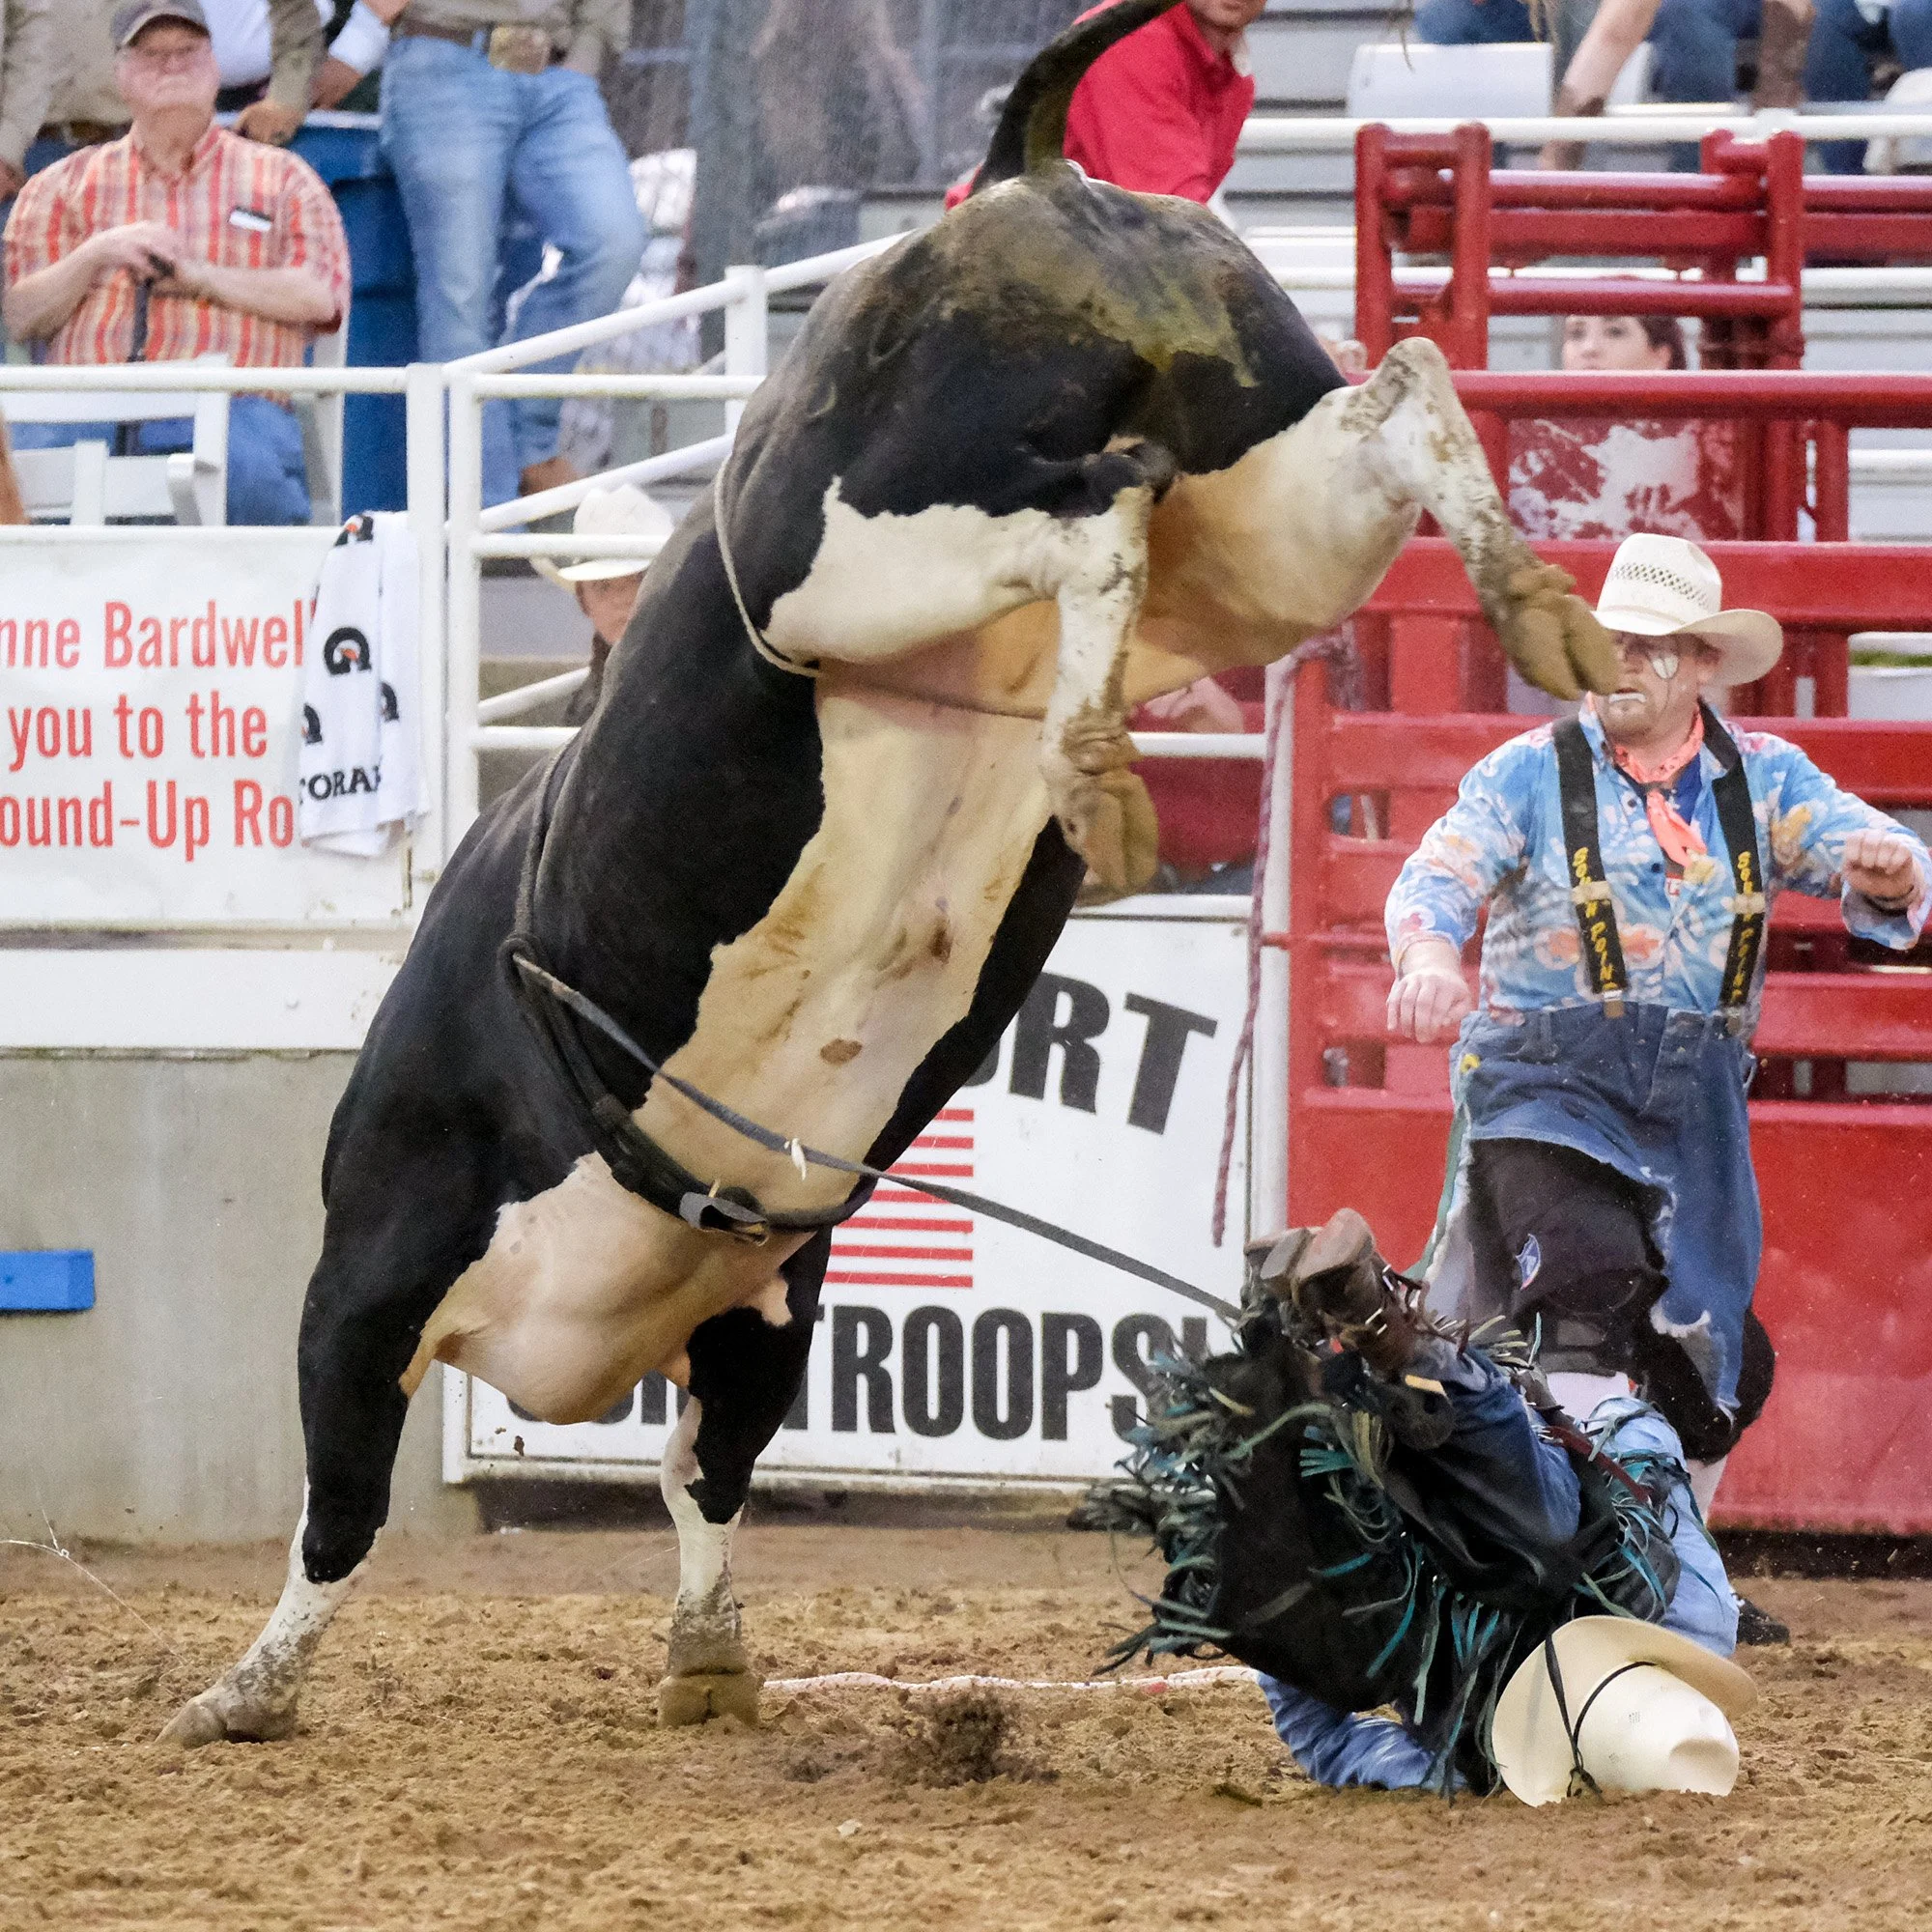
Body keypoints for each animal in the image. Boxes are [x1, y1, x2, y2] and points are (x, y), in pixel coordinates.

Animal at [162, 0, 1616, 1747]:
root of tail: (1027, 172)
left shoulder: (371, 1272)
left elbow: (347, 1501)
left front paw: (244, 1688)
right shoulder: (771, 1295)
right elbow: (705, 1475)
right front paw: (709, 1659)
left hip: (857, 543)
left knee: (1090, 513)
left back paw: (1105, 760)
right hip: (1258, 506)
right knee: (1372, 409)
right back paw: (1517, 615)